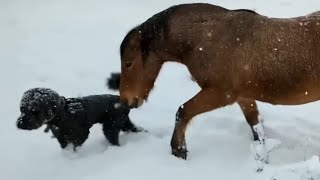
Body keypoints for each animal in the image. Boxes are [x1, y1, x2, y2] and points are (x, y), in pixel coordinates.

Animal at [117, 2, 320, 160]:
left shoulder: (220, 94)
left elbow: (183, 111)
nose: (126, 100)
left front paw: (179, 150)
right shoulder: (243, 97)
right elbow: (255, 125)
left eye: (128, 63)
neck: (208, 36)